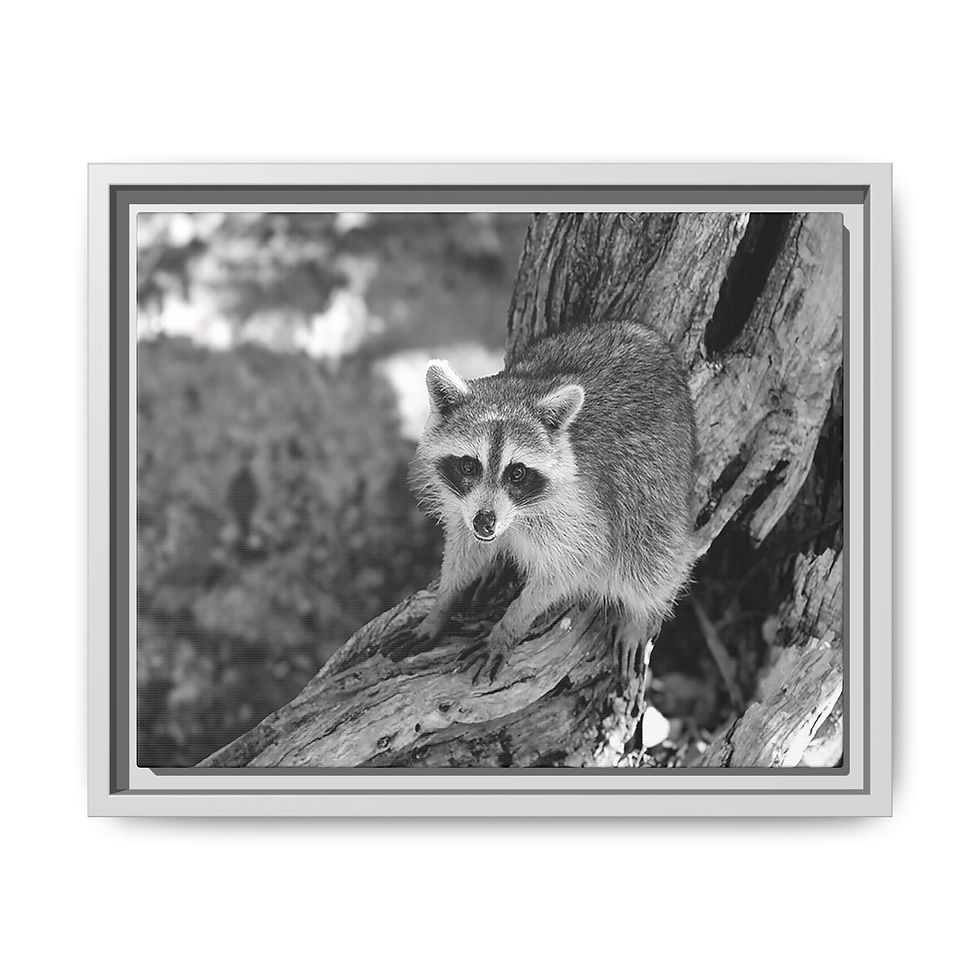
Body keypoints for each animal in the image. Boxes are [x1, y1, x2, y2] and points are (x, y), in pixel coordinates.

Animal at [396, 321, 698, 682]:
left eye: (517, 473)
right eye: (469, 465)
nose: (486, 522)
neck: (515, 517)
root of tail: (648, 336)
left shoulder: (580, 512)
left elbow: (573, 566)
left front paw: (511, 624)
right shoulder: (463, 506)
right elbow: (466, 550)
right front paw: (444, 603)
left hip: (656, 481)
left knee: (650, 556)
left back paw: (643, 612)